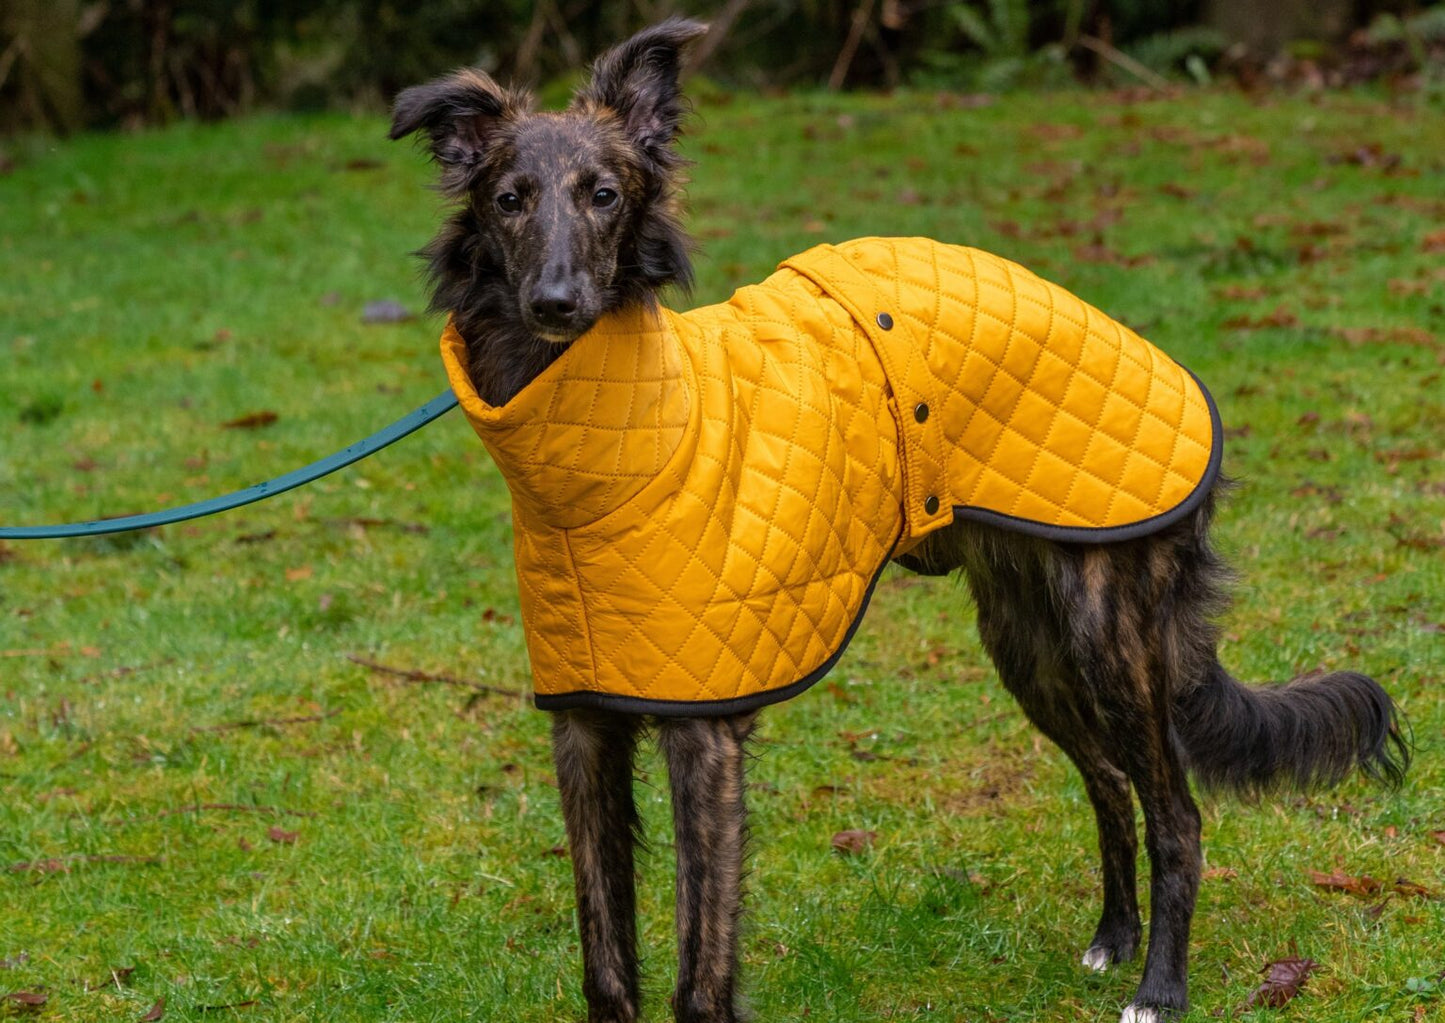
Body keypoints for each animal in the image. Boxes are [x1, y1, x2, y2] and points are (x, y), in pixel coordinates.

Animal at [390, 17, 1404, 1023]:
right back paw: (1112, 938)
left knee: (1177, 813)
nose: (557, 303)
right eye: (509, 199)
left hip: (1107, 635)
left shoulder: (703, 733)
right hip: (1029, 648)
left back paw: (1159, 987)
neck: (605, 454)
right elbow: (606, 963)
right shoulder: (583, 724)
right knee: (1111, 783)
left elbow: (698, 976)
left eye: (603, 194)